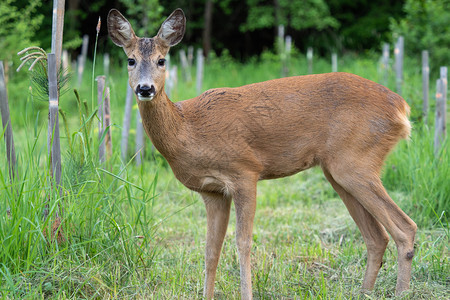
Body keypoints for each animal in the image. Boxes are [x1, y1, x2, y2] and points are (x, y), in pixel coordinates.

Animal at [107, 8, 416, 298]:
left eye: (162, 60)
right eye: (130, 60)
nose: (145, 88)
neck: (187, 128)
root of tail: (401, 107)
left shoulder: (245, 171)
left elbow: (243, 243)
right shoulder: (212, 191)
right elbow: (210, 250)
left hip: (356, 162)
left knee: (405, 229)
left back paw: (400, 292)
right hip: (337, 171)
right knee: (377, 237)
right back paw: (364, 293)